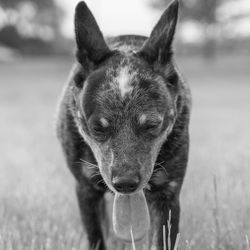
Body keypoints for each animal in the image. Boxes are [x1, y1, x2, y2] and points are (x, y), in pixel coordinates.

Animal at [55, 0, 190, 249]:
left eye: (152, 125)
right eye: (97, 128)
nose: (125, 183)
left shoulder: (168, 193)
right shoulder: (85, 189)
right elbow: (96, 237)